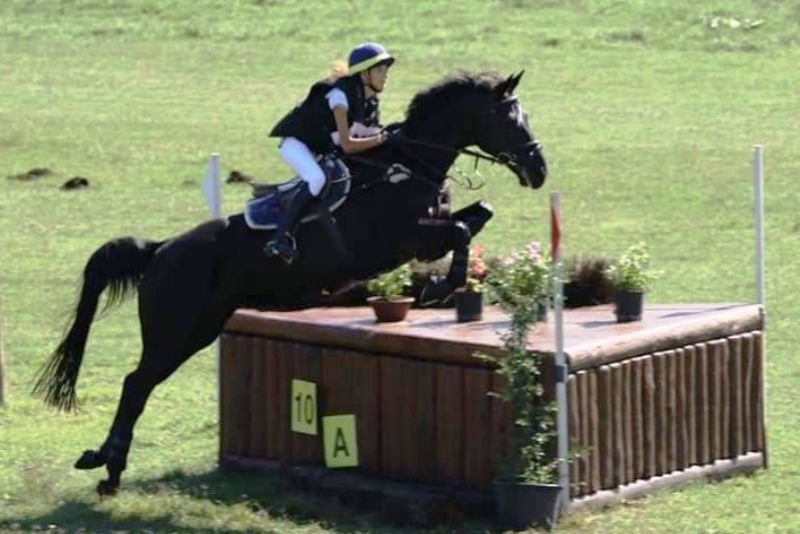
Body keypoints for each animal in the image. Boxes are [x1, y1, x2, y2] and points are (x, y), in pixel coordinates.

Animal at [33, 70, 547, 495]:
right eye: (509, 119)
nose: (539, 171)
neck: (408, 167)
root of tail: (160, 250)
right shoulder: (402, 240)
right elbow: (460, 230)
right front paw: (445, 285)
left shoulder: (428, 230)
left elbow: (475, 218)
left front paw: (452, 283)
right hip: (177, 332)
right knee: (135, 384)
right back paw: (107, 465)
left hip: (198, 330)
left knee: (138, 385)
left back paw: (107, 466)